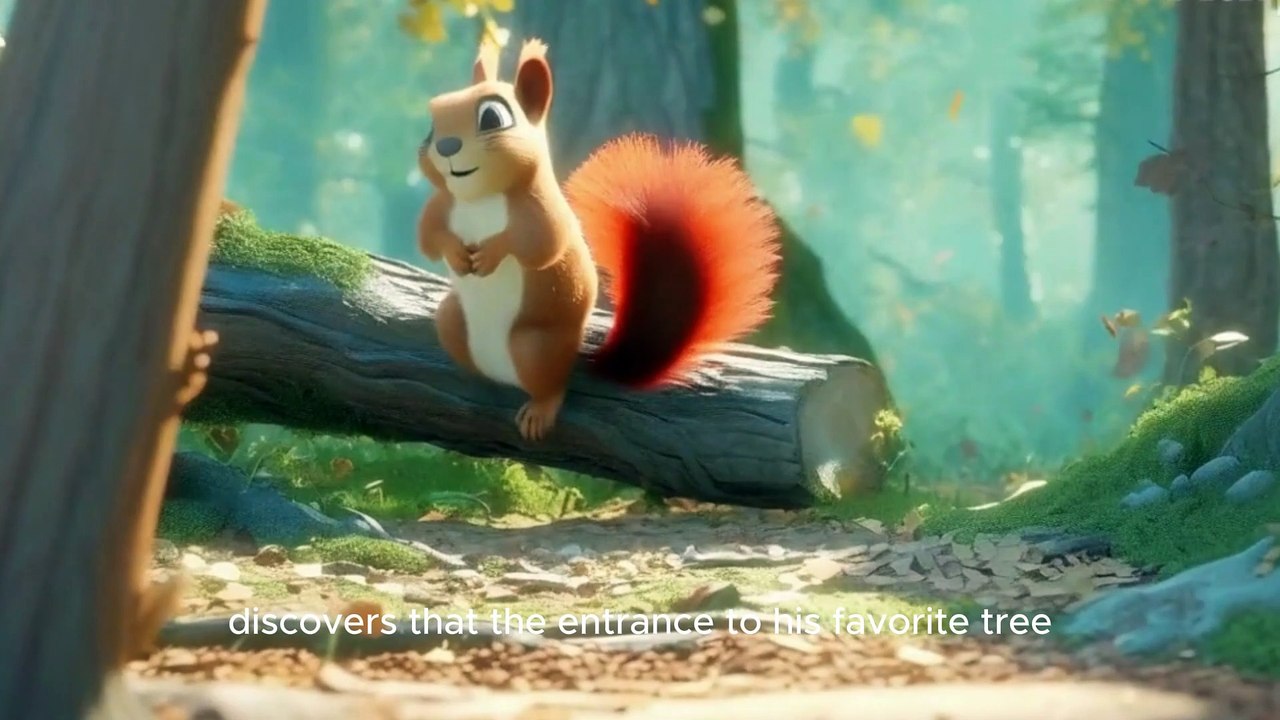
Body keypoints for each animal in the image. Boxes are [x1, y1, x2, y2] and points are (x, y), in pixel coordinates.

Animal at [416, 37, 782, 442]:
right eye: (432, 126)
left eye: (493, 118)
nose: (446, 145)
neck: (480, 197)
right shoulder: (441, 206)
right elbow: (430, 238)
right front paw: (455, 253)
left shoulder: (540, 211)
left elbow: (540, 245)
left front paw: (492, 253)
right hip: (452, 321)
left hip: (535, 347)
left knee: (550, 386)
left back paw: (540, 410)